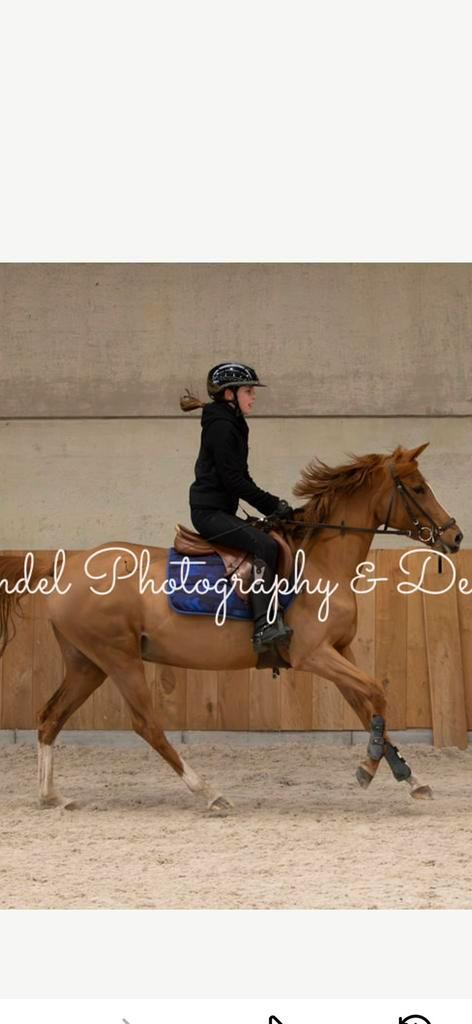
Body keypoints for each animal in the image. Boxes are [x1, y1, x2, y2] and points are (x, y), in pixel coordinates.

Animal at [0, 442, 463, 811]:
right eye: (418, 488)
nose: (455, 536)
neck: (321, 562)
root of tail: (66, 564)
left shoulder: (340, 651)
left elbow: (368, 708)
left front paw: (410, 778)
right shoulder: (314, 655)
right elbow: (377, 694)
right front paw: (368, 767)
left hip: (87, 663)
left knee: (50, 717)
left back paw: (52, 797)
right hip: (118, 659)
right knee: (146, 725)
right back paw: (209, 793)